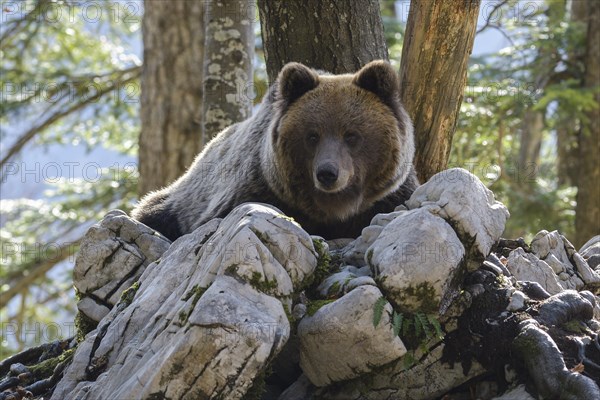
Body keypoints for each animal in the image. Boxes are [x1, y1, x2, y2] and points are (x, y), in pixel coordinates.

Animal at [134, 60, 420, 241]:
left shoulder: (391, 194)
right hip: (178, 201)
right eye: (312, 135)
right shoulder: (256, 189)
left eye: (351, 135)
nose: (327, 173)